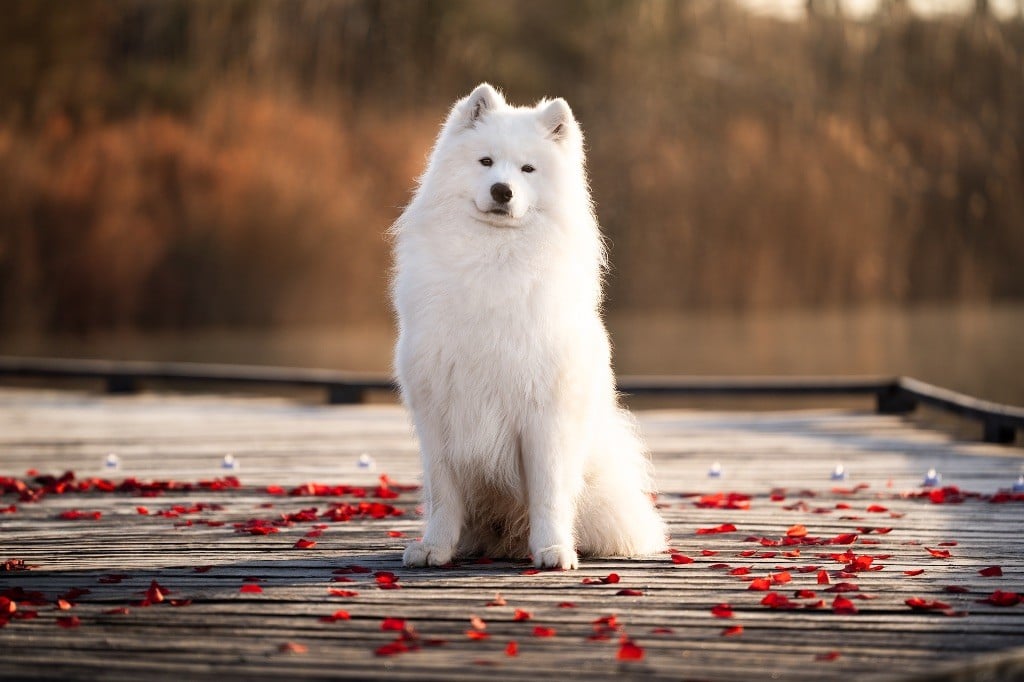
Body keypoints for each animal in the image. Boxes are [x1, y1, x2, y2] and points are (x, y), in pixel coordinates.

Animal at [387, 82, 667, 565]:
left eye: (527, 169)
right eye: (485, 162)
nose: (502, 190)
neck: (493, 259)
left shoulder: (545, 417)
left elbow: (548, 494)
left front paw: (553, 549)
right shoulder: (438, 412)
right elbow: (443, 496)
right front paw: (435, 548)